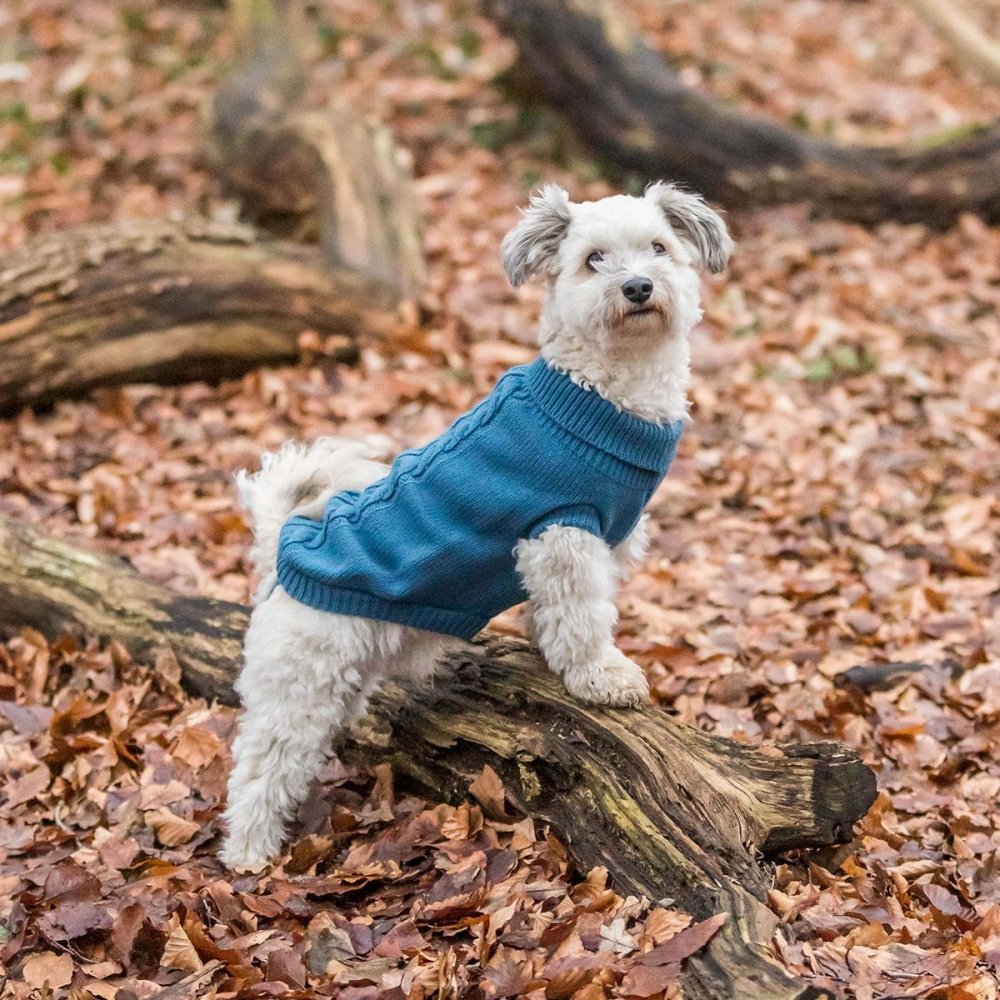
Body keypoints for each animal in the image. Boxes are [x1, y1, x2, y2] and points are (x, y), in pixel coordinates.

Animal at [221, 184, 736, 872]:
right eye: (594, 259)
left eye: (658, 248)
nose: (637, 287)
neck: (599, 393)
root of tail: (286, 543)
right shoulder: (562, 534)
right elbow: (584, 618)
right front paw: (601, 677)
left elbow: (555, 617)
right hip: (298, 683)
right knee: (260, 768)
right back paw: (248, 854)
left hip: (346, 672)